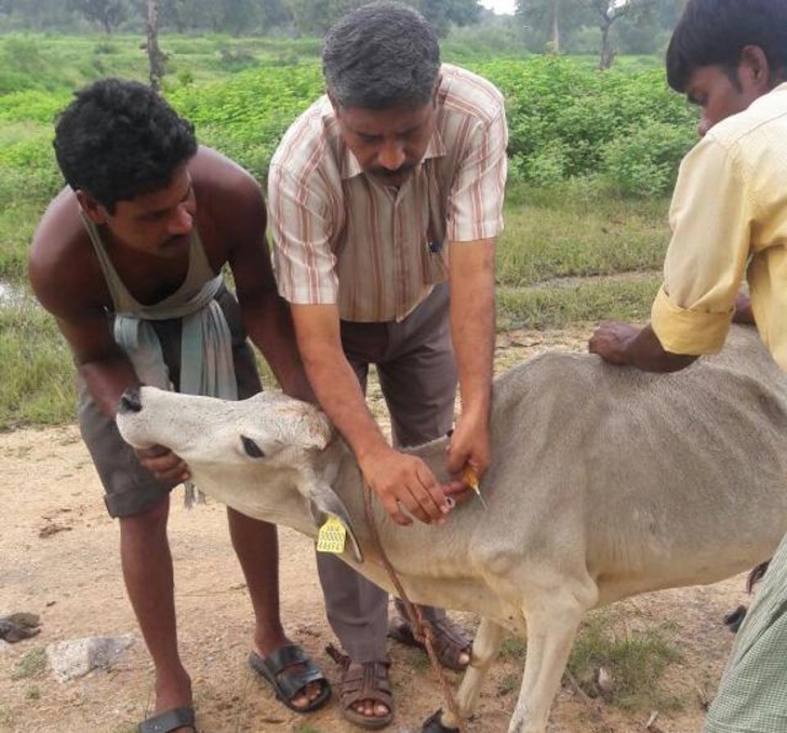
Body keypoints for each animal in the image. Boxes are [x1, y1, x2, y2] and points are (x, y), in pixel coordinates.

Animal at [117, 328, 787, 732]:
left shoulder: (561, 604)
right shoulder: (499, 590)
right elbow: (484, 653)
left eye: (251, 445)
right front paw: (449, 713)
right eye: (252, 399)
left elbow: (527, 716)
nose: (131, 398)